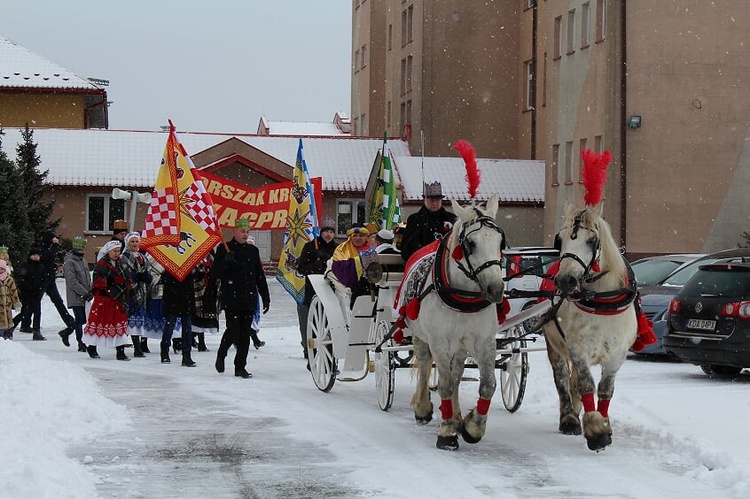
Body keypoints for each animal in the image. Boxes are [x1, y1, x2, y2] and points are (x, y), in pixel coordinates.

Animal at [402, 195, 508, 454]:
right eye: (470, 243)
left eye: (500, 241)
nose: (496, 290)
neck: (464, 296)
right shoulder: (439, 343)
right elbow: (445, 385)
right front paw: (447, 431)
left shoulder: (485, 342)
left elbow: (487, 385)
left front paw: (472, 427)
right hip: (420, 336)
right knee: (424, 364)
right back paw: (423, 408)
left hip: (460, 345)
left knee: (457, 372)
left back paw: (458, 415)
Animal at [544, 203, 636, 454]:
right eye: (560, 239)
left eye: (591, 240)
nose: (564, 281)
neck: (602, 299)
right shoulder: (577, 348)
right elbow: (586, 384)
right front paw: (596, 431)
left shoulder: (618, 353)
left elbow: (605, 389)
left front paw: (603, 424)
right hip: (554, 344)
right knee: (562, 378)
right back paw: (569, 418)